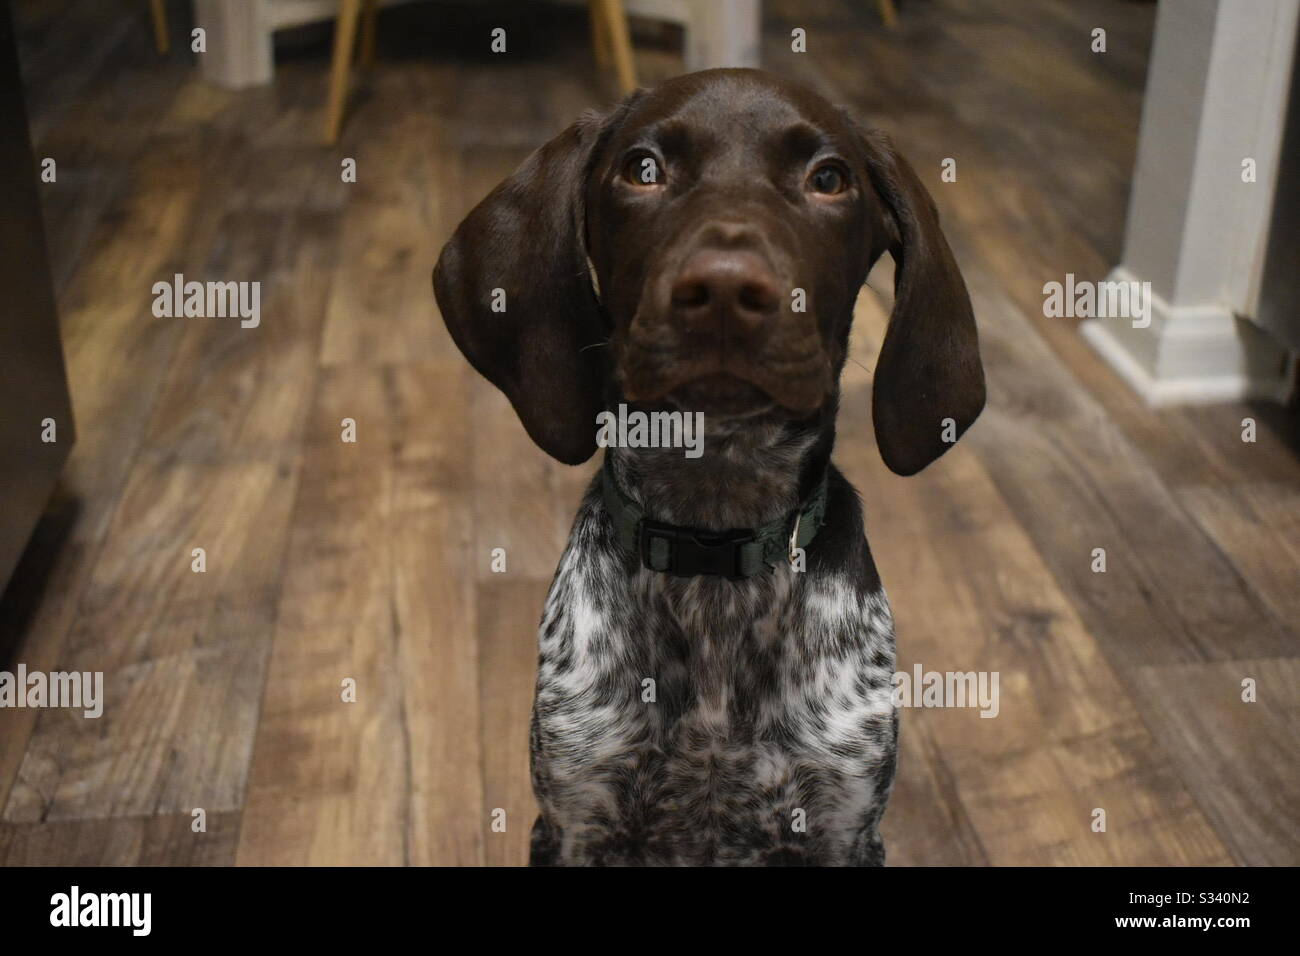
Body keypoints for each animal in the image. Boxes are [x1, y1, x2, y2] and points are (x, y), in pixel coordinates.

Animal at [431, 69, 977, 868]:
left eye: (829, 179)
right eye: (643, 169)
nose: (724, 289)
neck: (715, 537)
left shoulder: (844, 827)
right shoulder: (573, 820)